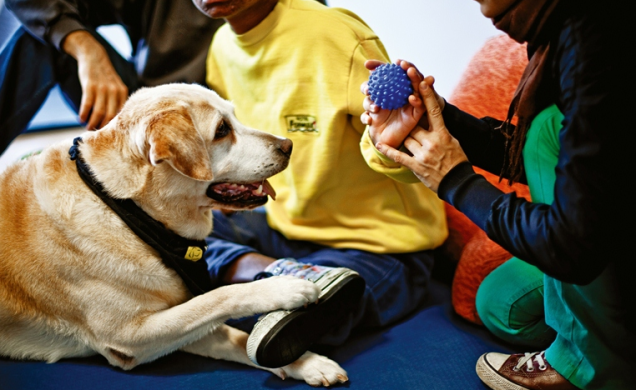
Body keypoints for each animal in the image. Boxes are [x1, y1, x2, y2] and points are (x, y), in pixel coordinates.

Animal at [0, 84, 348, 386]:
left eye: (234, 117)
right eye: (222, 130)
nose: (288, 145)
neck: (130, 212)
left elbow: (238, 337)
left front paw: (306, 361)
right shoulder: (128, 337)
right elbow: (217, 297)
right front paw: (282, 288)